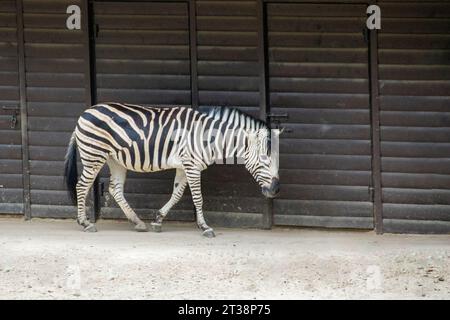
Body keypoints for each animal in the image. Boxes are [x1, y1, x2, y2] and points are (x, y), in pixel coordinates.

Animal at [63, 103, 282, 238]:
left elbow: (176, 194)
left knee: (115, 189)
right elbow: (198, 198)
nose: (275, 190)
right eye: (265, 159)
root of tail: (84, 114)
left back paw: (137, 222)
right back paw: (85, 223)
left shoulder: (184, 167)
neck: (207, 137)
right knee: (82, 186)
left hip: (114, 160)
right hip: (94, 155)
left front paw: (158, 220)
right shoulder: (192, 166)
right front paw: (205, 227)